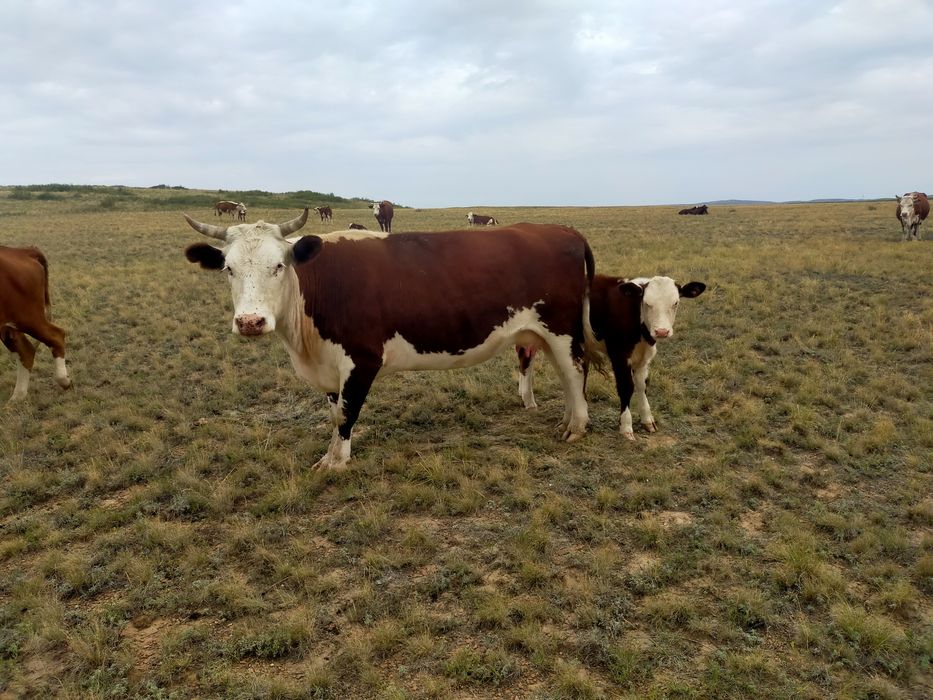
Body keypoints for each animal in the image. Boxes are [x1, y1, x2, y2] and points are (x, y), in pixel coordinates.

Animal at [0, 246, 72, 402]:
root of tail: (22, 251)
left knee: (56, 336)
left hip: (28, 317)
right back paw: (18, 396)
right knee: (25, 351)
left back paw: (64, 381)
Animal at [183, 209, 593, 469]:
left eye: (278, 266)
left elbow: (346, 412)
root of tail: (562, 230)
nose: (250, 322)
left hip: (561, 328)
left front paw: (337, 462)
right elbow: (334, 410)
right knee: (564, 373)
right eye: (228, 268)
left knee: (575, 371)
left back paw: (576, 426)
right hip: (543, 332)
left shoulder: (362, 358)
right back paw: (566, 418)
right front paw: (333, 454)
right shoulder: (331, 366)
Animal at [516, 275, 705, 440]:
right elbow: (626, 388)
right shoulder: (619, 357)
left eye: (675, 303)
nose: (662, 332)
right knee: (527, 359)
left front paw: (647, 420)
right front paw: (626, 428)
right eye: (647, 303)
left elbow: (642, 385)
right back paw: (528, 399)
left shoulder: (643, 359)